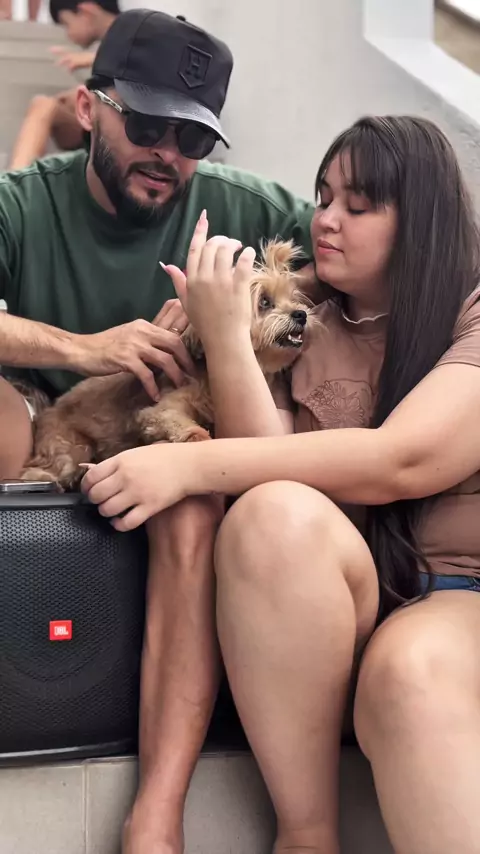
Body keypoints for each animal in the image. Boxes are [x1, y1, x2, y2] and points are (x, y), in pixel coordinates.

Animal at [20, 240, 312, 490]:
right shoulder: (159, 409)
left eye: (293, 298)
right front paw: (198, 436)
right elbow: (175, 421)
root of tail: (46, 412)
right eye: (264, 302)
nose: (301, 314)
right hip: (70, 448)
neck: (209, 372)